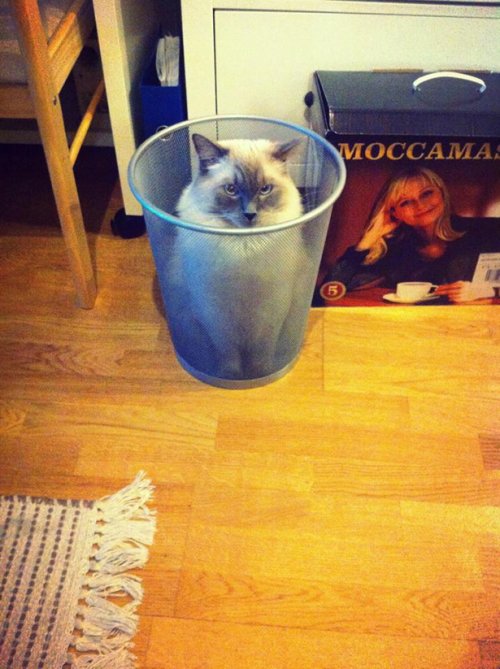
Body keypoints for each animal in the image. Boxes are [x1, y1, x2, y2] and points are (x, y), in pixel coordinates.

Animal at [170, 133, 312, 380]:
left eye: (265, 189)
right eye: (231, 190)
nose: (249, 215)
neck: (244, 249)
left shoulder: (269, 314)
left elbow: (261, 355)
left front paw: (259, 374)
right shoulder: (218, 317)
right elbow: (229, 354)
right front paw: (232, 376)